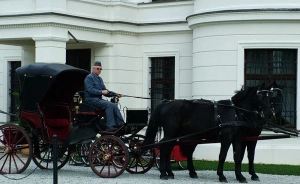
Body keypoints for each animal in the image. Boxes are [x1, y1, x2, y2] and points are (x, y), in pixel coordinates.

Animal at [142, 83, 274, 181]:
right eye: (261, 96)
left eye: (270, 97)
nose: (269, 114)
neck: (235, 111)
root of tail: (166, 103)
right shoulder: (226, 137)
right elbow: (222, 155)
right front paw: (221, 175)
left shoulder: (238, 139)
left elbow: (237, 157)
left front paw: (240, 177)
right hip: (171, 133)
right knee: (164, 148)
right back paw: (163, 173)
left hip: (176, 135)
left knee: (169, 149)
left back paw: (170, 173)